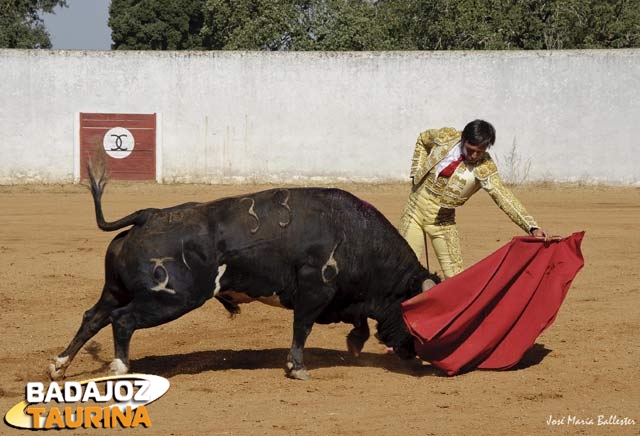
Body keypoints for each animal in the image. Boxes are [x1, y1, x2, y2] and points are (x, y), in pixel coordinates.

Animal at [50, 169, 440, 380]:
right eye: (414, 315)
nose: (415, 356)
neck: (355, 235)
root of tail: (150, 215)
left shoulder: (341, 299)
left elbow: (356, 322)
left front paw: (354, 344)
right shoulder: (315, 291)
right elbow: (302, 329)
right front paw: (297, 367)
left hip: (116, 289)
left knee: (93, 317)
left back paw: (59, 367)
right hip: (171, 298)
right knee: (122, 320)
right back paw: (120, 368)